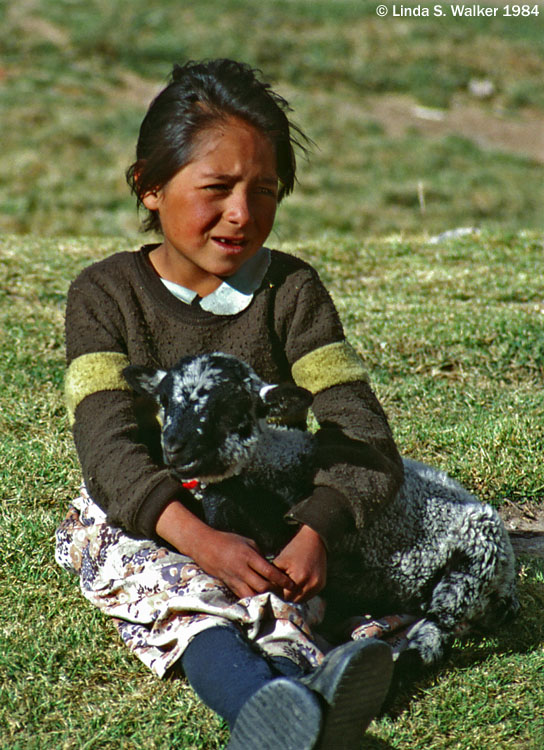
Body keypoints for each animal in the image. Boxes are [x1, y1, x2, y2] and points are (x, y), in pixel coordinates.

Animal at [123, 354, 520, 668]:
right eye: (163, 401)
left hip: (472, 564)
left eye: (231, 408)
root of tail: (506, 585)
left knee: (437, 634)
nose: (176, 448)